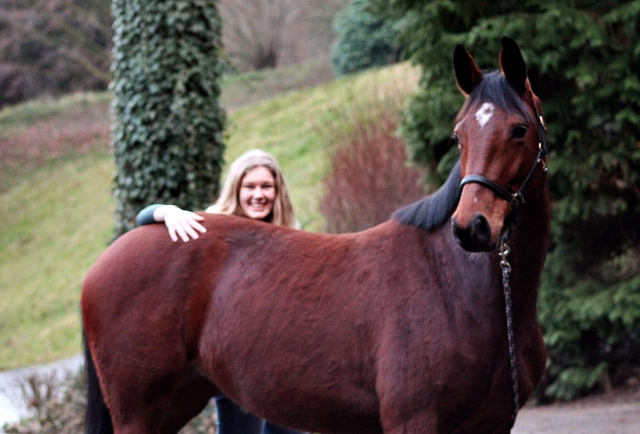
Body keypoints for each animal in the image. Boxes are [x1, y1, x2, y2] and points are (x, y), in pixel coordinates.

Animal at [80, 38, 552, 434]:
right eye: (458, 135)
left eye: (519, 129)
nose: (471, 227)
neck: (457, 288)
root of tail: (103, 262)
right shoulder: (414, 421)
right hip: (139, 413)